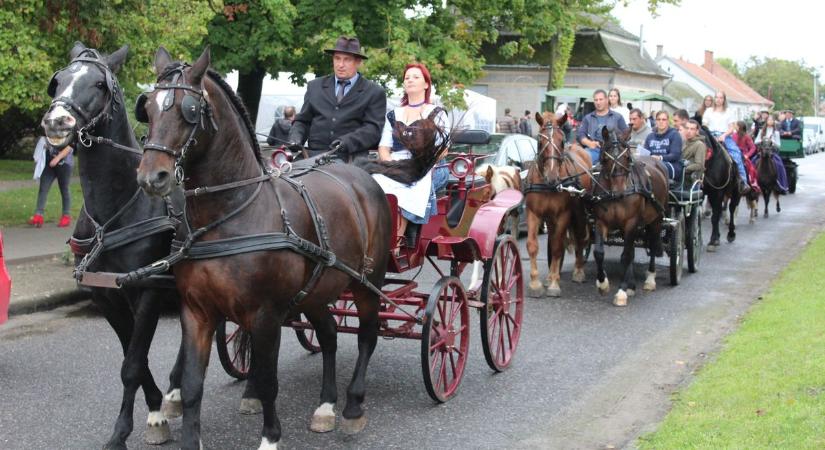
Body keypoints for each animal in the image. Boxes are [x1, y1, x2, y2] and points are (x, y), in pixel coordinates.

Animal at [134, 47, 392, 448]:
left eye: (189, 109)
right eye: (147, 108)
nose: (151, 177)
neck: (229, 215)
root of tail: (362, 176)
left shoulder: (266, 314)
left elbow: (269, 381)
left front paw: (270, 437)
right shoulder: (197, 311)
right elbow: (192, 385)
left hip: (367, 283)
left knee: (367, 336)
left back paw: (352, 407)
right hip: (317, 290)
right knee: (329, 335)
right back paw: (325, 406)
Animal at [524, 110, 588, 298]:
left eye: (561, 141)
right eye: (539, 142)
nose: (552, 177)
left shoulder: (563, 215)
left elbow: (558, 247)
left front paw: (554, 284)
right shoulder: (533, 213)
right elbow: (533, 245)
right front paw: (536, 283)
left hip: (579, 214)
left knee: (580, 239)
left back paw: (578, 271)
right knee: (553, 237)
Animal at [584, 126, 668, 306]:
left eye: (627, 157)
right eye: (605, 158)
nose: (619, 191)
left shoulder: (631, 222)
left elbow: (626, 256)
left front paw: (621, 291)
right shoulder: (601, 221)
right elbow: (599, 252)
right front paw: (603, 283)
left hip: (656, 220)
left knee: (652, 243)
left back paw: (650, 279)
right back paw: (632, 285)